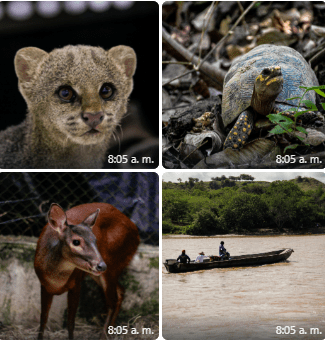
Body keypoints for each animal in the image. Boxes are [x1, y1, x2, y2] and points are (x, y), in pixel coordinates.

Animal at [33, 203, 139, 338]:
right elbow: (43, 320)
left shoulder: (76, 284)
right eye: (76, 241)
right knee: (120, 291)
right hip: (99, 273)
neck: (56, 281)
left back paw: (104, 336)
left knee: (112, 301)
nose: (101, 265)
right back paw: (111, 332)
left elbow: (70, 323)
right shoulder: (44, 285)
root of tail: (135, 230)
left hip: (113, 263)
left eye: (95, 240)